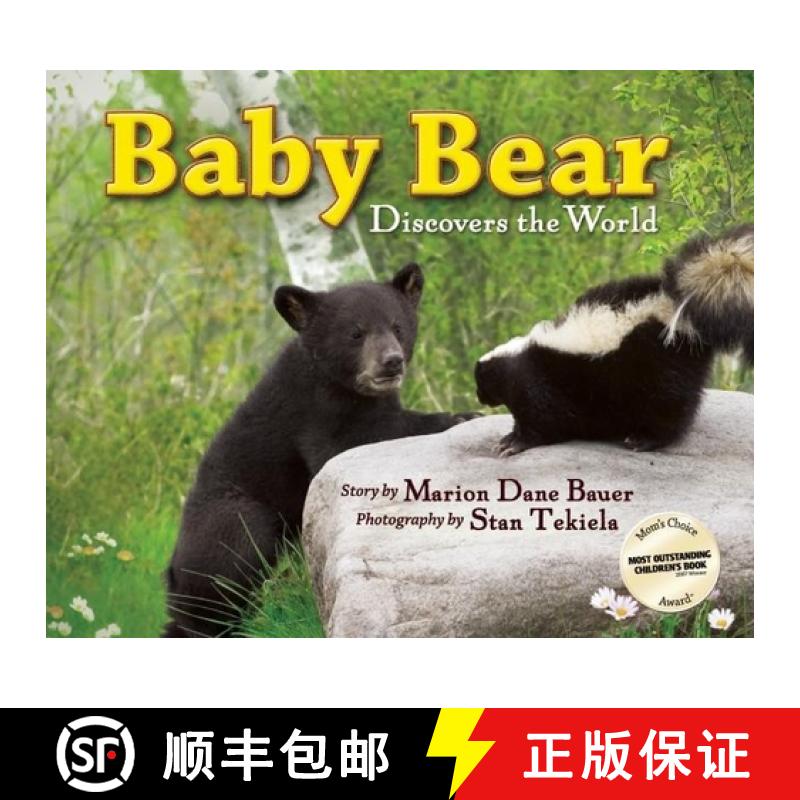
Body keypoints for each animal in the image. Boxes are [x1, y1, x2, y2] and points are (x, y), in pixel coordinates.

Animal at [164, 262, 476, 637]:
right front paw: (457, 415)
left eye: (398, 327)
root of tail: (171, 577)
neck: (340, 385)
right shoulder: (311, 414)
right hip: (224, 525)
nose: (391, 362)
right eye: (355, 333)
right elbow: (350, 443)